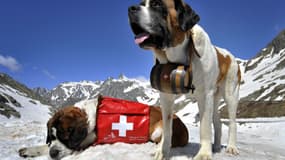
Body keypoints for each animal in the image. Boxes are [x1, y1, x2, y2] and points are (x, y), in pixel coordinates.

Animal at [19, 95, 189, 159]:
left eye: (66, 137)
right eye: (52, 136)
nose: (53, 153)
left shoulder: (84, 142)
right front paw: (29, 150)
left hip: (160, 127)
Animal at [127, 0, 241, 160]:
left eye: (157, 5)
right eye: (142, 3)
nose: (131, 8)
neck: (178, 57)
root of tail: (230, 56)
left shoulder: (205, 96)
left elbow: (204, 127)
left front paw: (204, 154)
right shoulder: (166, 96)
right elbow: (167, 128)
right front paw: (162, 151)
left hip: (231, 94)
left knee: (232, 122)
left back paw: (231, 147)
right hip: (215, 98)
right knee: (217, 122)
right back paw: (216, 146)